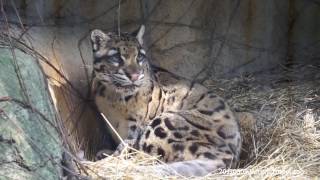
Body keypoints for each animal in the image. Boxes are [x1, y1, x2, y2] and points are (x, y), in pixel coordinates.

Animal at [89, 26, 240, 176]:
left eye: (139, 56)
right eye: (116, 57)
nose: (135, 75)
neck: (114, 98)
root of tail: (229, 156)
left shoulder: (136, 128)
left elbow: (128, 146)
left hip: (165, 122)